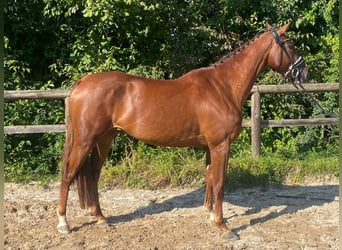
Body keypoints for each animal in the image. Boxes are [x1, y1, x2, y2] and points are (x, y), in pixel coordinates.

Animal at [56, 23, 308, 238]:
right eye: (291, 45)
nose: (304, 72)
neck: (223, 87)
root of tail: (82, 82)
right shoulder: (221, 145)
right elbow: (220, 183)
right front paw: (224, 226)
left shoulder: (210, 147)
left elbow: (209, 178)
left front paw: (211, 216)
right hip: (85, 140)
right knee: (68, 174)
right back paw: (63, 223)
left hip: (104, 138)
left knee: (92, 174)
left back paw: (100, 217)